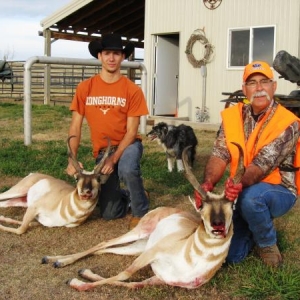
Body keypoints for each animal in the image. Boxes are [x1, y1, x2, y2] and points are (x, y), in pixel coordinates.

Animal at [41, 143, 244, 290]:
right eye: (202, 207)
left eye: (231, 206)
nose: (218, 225)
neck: (190, 262)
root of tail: (164, 208)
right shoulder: (150, 255)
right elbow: (124, 274)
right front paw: (74, 282)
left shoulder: (159, 278)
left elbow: (131, 284)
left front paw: (83, 276)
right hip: (141, 234)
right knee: (104, 243)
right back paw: (57, 260)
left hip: (140, 246)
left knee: (105, 249)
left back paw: (62, 263)